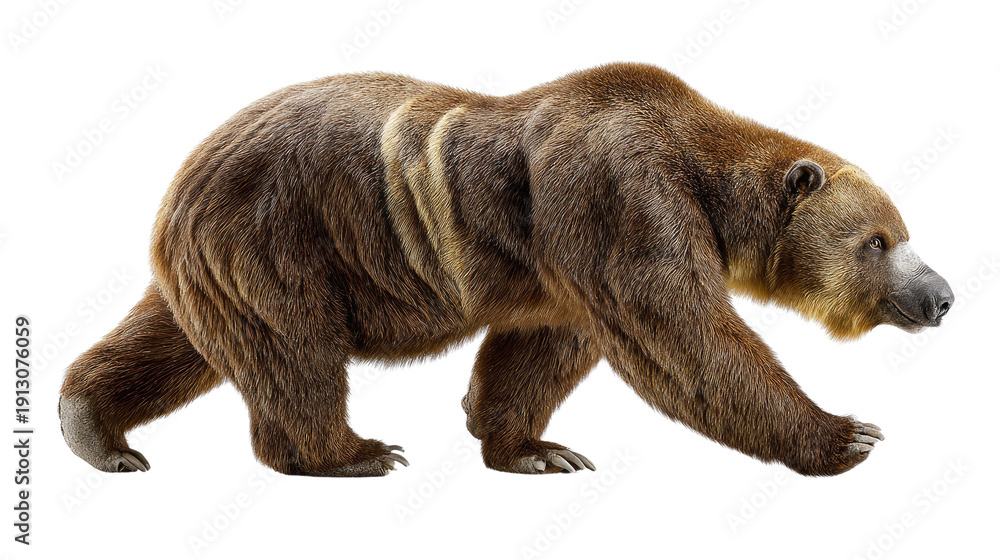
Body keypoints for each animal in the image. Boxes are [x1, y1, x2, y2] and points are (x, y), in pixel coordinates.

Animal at [59, 62, 954, 478]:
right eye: (879, 240)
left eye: (903, 232)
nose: (941, 295)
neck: (702, 176)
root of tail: (182, 175)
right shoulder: (619, 198)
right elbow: (684, 339)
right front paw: (847, 432)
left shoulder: (560, 268)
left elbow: (540, 352)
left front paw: (536, 448)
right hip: (280, 235)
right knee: (295, 356)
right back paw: (352, 452)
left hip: (215, 260)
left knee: (174, 342)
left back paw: (96, 430)